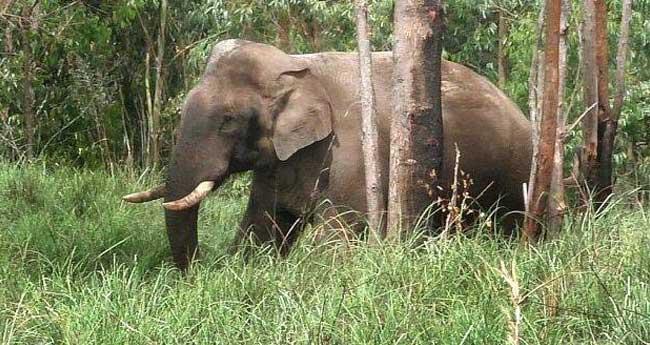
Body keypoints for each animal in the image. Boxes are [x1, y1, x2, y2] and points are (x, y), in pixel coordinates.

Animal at [123, 38, 532, 268]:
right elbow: (262, 225)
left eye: (228, 120)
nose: (197, 271)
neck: (296, 65)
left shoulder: (349, 154)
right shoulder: (280, 163)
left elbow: (339, 235)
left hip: (514, 176)